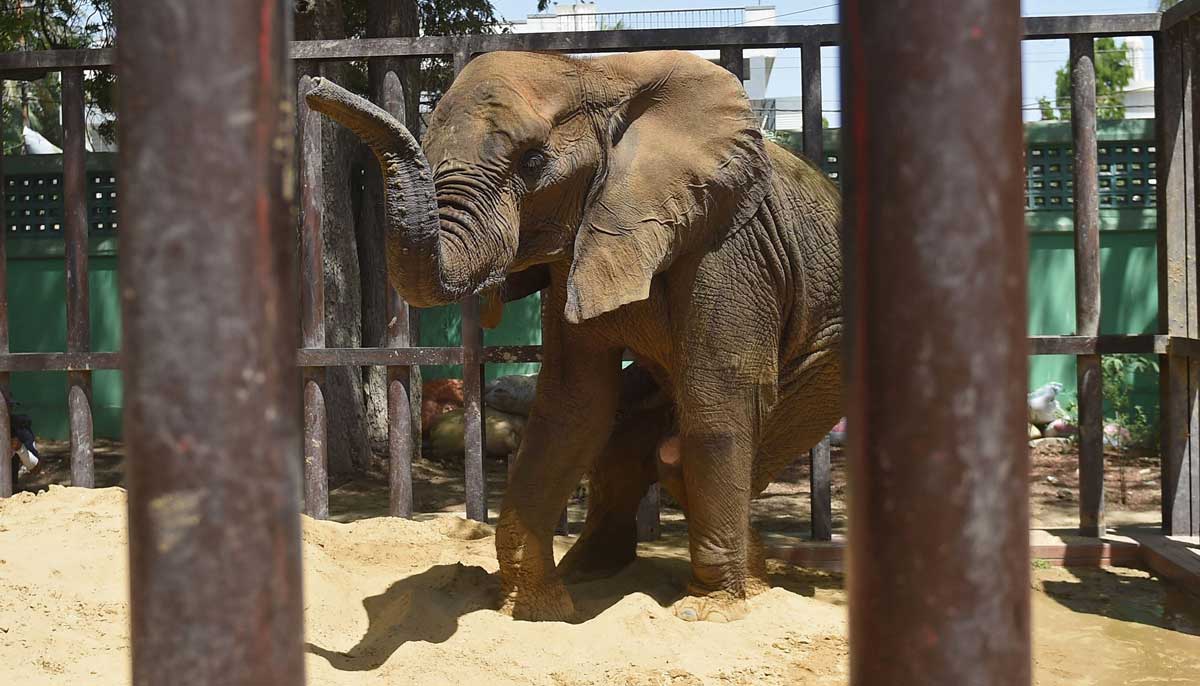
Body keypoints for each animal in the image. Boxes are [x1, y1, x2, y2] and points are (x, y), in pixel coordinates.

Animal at [312, 50, 844, 623]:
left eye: (533, 163)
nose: (315, 86)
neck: (596, 72)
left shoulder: (730, 245)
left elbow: (720, 396)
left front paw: (709, 612)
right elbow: (575, 404)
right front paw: (537, 608)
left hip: (828, 363)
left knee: (679, 453)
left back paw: (744, 581)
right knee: (622, 444)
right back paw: (598, 572)